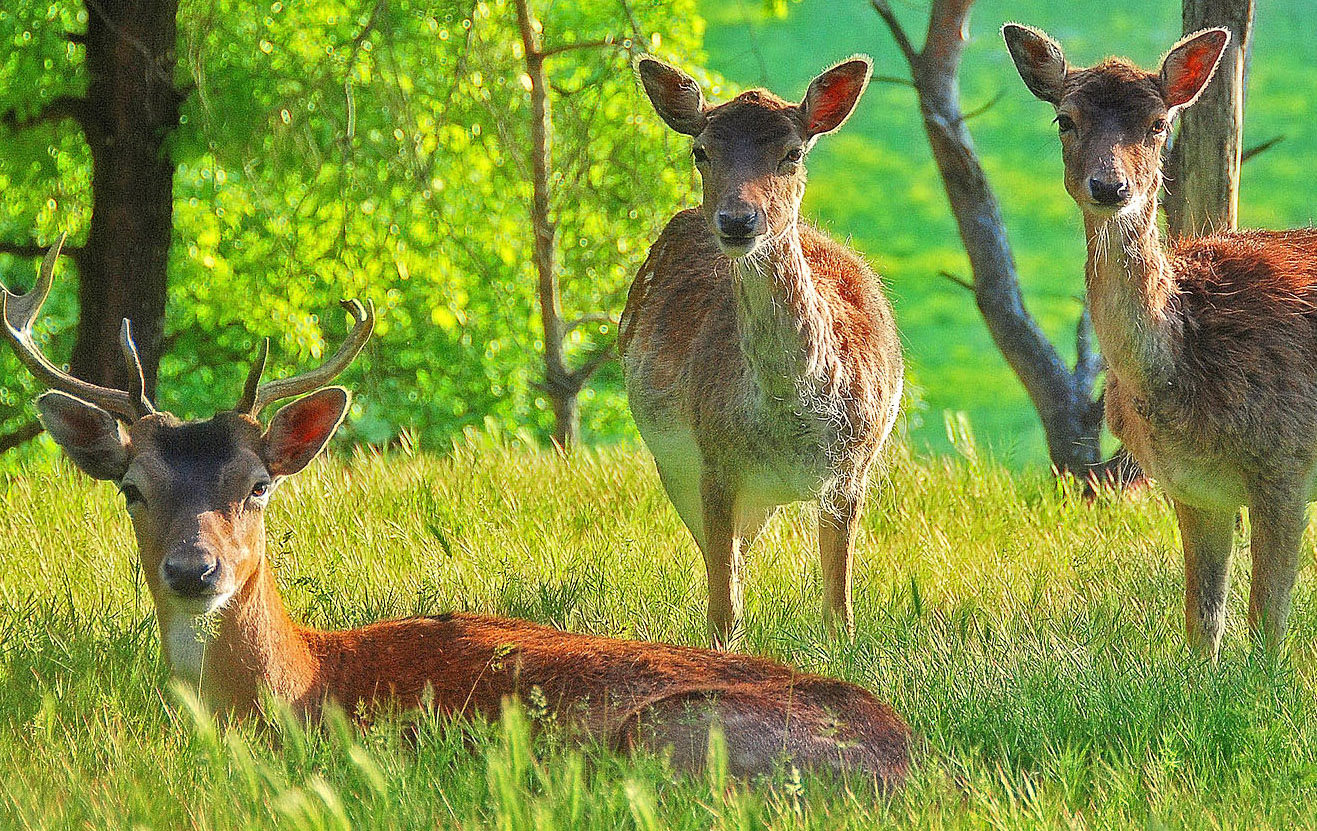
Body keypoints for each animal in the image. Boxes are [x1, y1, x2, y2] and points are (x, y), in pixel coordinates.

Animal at [0, 237, 911, 784]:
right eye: (132, 486)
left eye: (258, 483)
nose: (194, 570)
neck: (304, 680)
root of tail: (900, 751)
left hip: (662, 733)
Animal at [621, 55, 900, 647]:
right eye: (701, 151)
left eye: (792, 152)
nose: (737, 220)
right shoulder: (713, 460)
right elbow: (723, 606)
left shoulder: (852, 470)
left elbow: (838, 607)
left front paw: (841, 644)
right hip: (674, 466)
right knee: (725, 561)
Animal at [1000, 26, 1317, 661]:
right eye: (1065, 119)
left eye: (1158, 123)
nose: (1109, 185)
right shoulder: (1192, 487)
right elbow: (1203, 622)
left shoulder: (1287, 462)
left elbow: (1267, 625)